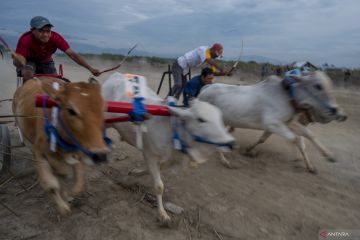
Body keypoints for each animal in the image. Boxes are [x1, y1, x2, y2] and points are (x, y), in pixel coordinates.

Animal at [12, 77, 109, 214]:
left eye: (103, 108)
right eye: (71, 110)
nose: (100, 155)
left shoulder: (79, 152)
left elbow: (77, 185)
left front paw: (68, 195)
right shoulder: (38, 153)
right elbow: (51, 185)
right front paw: (63, 208)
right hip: (26, 139)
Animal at [102, 72, 235, 225]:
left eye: (220, 117)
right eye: (201, 119)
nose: (230, 142)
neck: (172, 130)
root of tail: (116, 74)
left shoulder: (167, 159)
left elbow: (151, 172)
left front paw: (133, 174)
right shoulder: (151, 155)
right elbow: (159, 186)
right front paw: (162, 214)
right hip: (104, 120)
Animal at [198, 70, 348, 173]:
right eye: (318, 86)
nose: (336, 111)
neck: (287, 96)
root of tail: (205, 88)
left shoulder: (289, 123)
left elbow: (308, 135)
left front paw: (326, 157)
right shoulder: (272, 124)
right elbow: (295, 139)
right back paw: (224, 160)